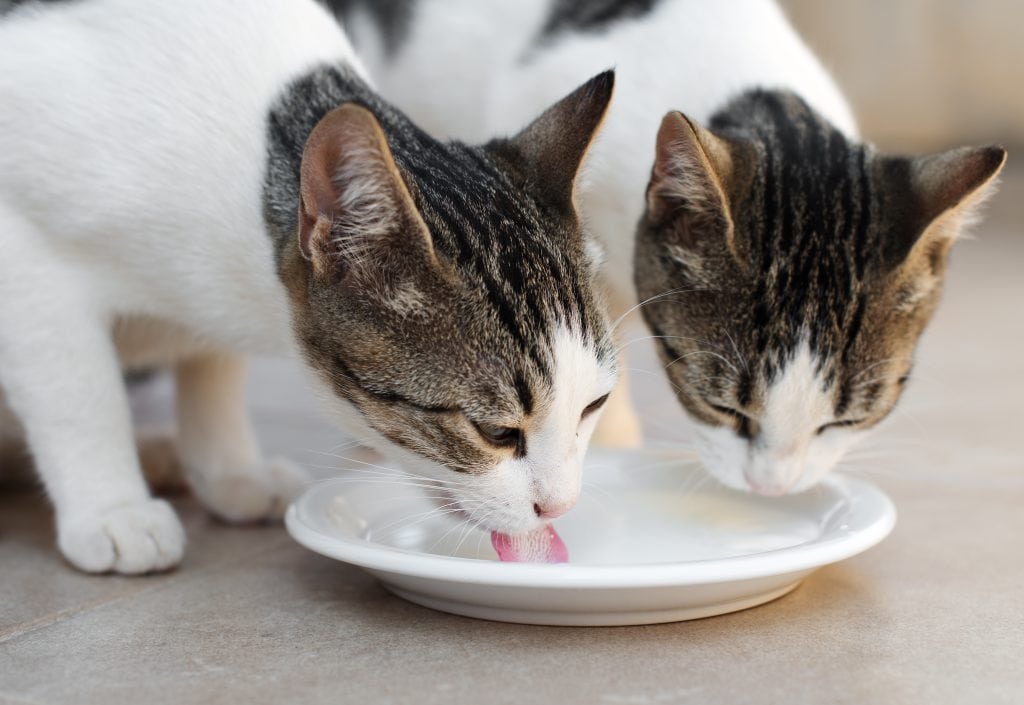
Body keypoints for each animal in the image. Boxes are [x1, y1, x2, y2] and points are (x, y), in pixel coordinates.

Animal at [0, 0, 614, 573]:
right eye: (495, 432)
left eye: (594, 405)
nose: (561, 507)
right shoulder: (25, 257)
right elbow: (79, 393)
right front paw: (112, 509)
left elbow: (211, 367)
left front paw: (230, 470)